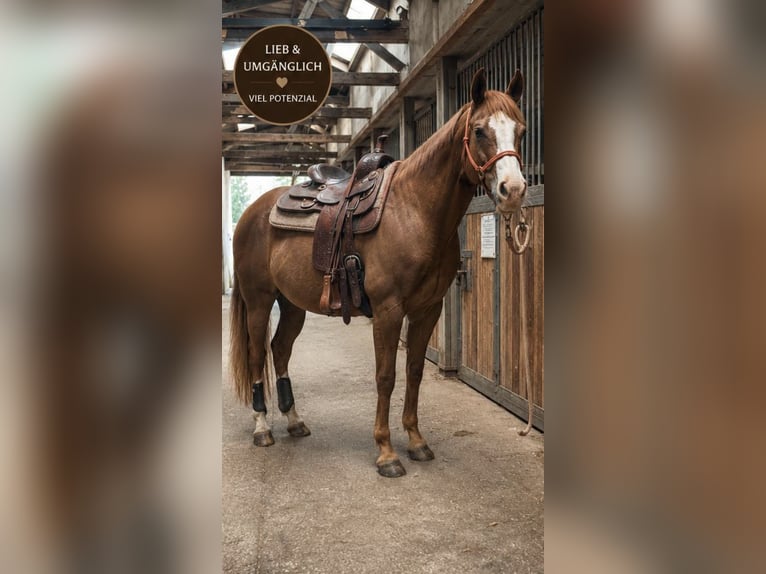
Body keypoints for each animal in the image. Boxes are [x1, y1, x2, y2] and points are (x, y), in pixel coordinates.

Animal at [230, 67, 527, 478]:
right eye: (480, 130)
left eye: (521, 130)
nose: (513, 190)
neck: (414, 210)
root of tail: (251, 214)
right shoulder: (388, 310)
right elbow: (386, 377)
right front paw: (386, 452)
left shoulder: (428, 310)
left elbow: (414, 371)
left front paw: (416, 441)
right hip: (259, 302)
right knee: (258, 354)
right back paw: (262, 428)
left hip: (292, 305)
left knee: (280, 350)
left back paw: (294, 420)